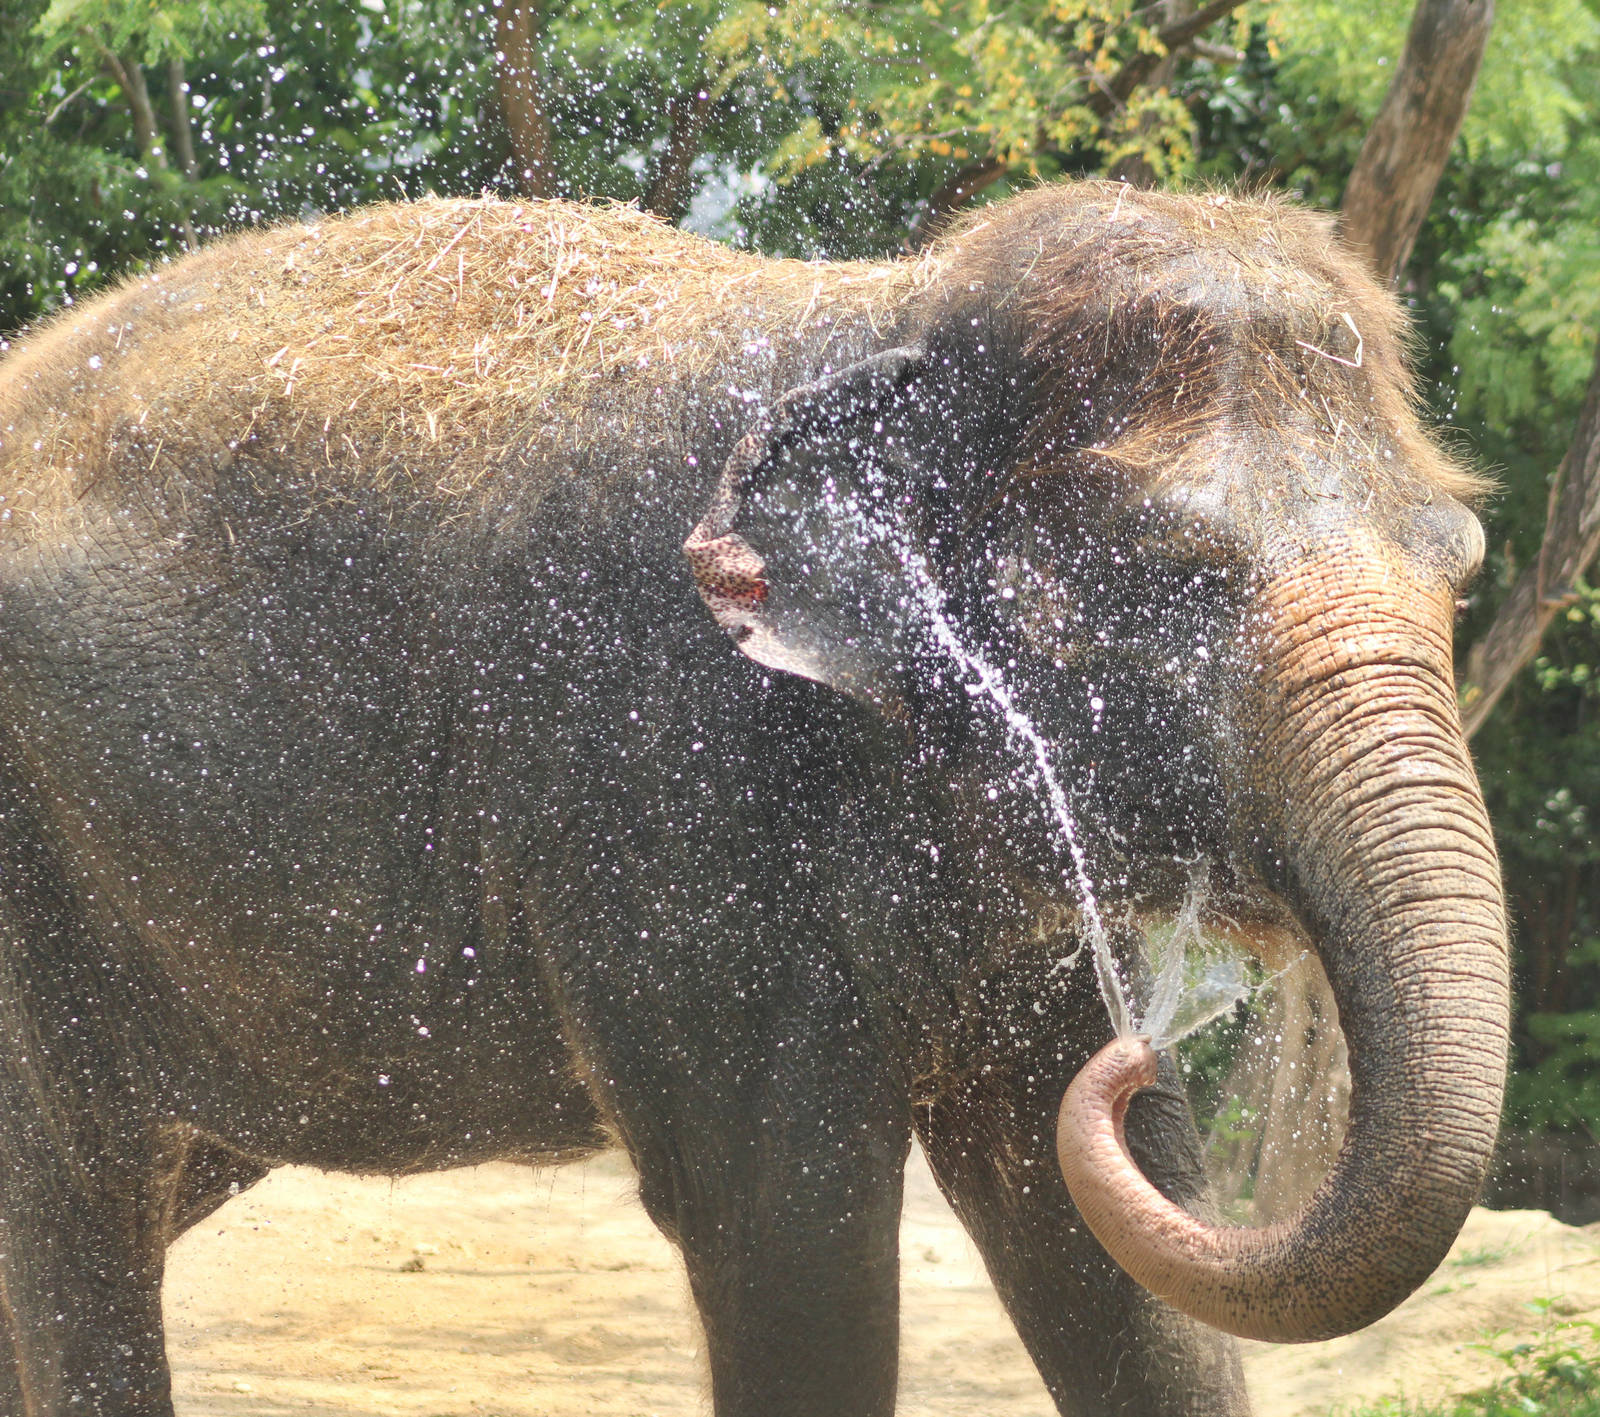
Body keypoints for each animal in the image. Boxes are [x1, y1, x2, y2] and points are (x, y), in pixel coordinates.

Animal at [0, 181, 1508, 1416]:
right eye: (1165, 571)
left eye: (1461, 563)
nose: (1151, 1046)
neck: (889, 307)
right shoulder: (665, 779)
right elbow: (790, 1242)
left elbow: (1104, 1254)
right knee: (80, 1218)